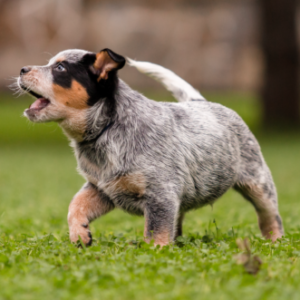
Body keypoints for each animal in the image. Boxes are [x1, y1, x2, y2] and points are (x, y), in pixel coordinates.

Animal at [16, 48, 284, 246]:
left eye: (60, 68)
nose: (21, 69)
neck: (107, 130)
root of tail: (200, 101)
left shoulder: (160, 193)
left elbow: (156, 231)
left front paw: (156, 252)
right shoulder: (102, 187)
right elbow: (76, 205)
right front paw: (79, 234)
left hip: (257, 179)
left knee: (270, 215)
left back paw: (275, 241)